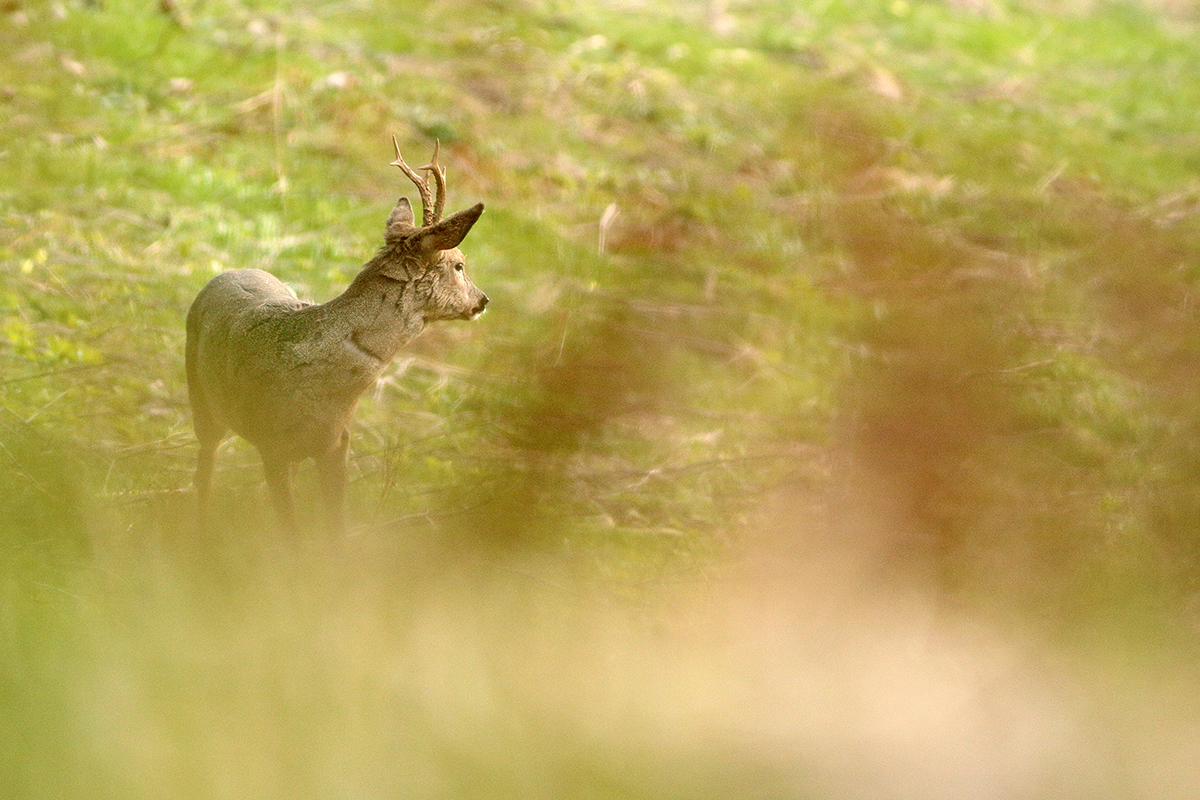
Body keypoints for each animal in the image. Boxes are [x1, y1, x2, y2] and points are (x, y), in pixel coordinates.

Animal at [184, 139, 484, 532]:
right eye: (459, 264)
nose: (483, 300)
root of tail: (228, 271)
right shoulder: (271, 442)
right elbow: (291, 533)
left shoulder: (336, 445)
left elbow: (335, 529)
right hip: (203, 400)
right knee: (204, 470)